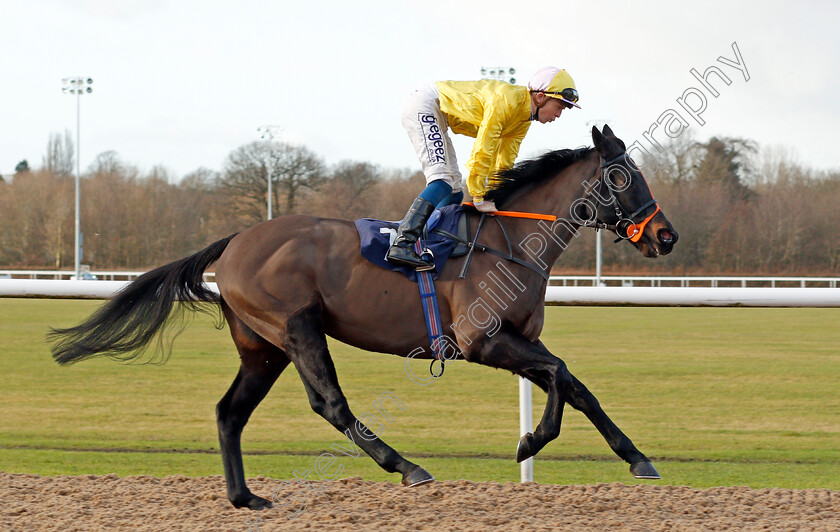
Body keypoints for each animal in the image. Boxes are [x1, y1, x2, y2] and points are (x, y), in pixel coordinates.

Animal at [47, 125, 676, 512]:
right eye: (624, 176)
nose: (666, 236)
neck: (510, 240)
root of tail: (234, 241)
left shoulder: (516, 340)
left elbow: (571, 383)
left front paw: (628, 457)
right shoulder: (483, 340)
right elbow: (562, 375)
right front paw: (536, 443)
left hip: (262, 348)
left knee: (230, 411)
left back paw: (245, 497)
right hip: (296, 328)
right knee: (329, 403)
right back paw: (407, 465)